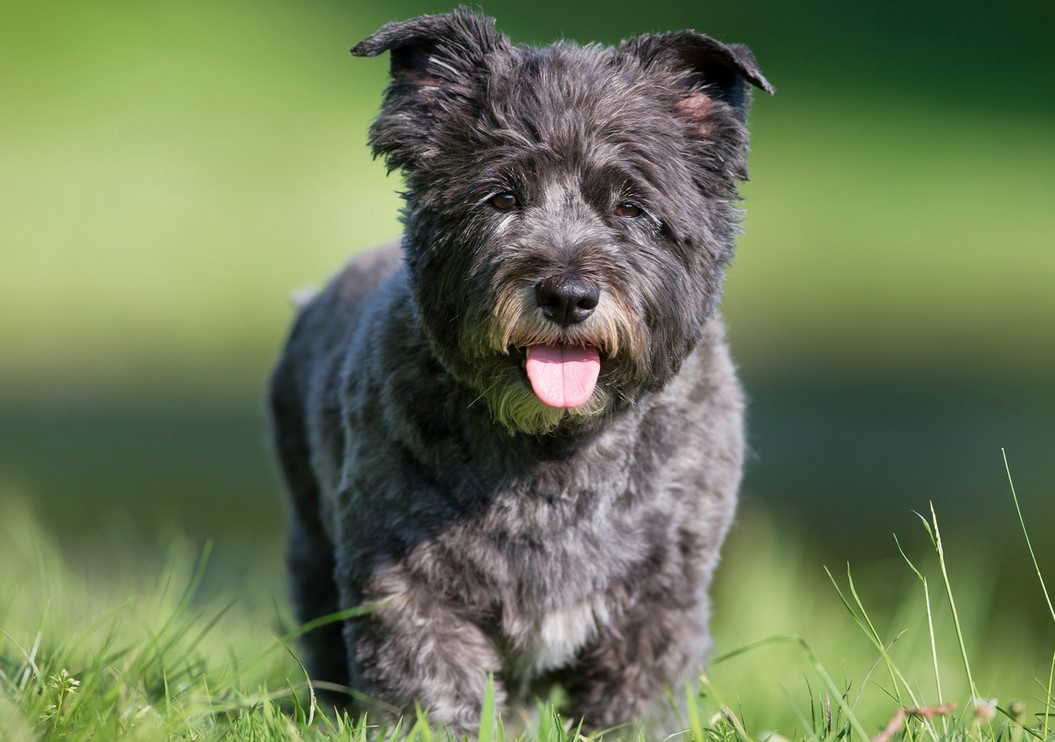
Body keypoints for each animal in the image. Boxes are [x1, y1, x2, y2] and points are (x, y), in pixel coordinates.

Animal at [267, 7, 772, 738]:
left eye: (630, 206)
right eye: (501, 197)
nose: (566, 295)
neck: (556, 449)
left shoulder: (655, 606)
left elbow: (636, 707)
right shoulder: (410, 591)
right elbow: (432, 695)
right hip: (312, 545)